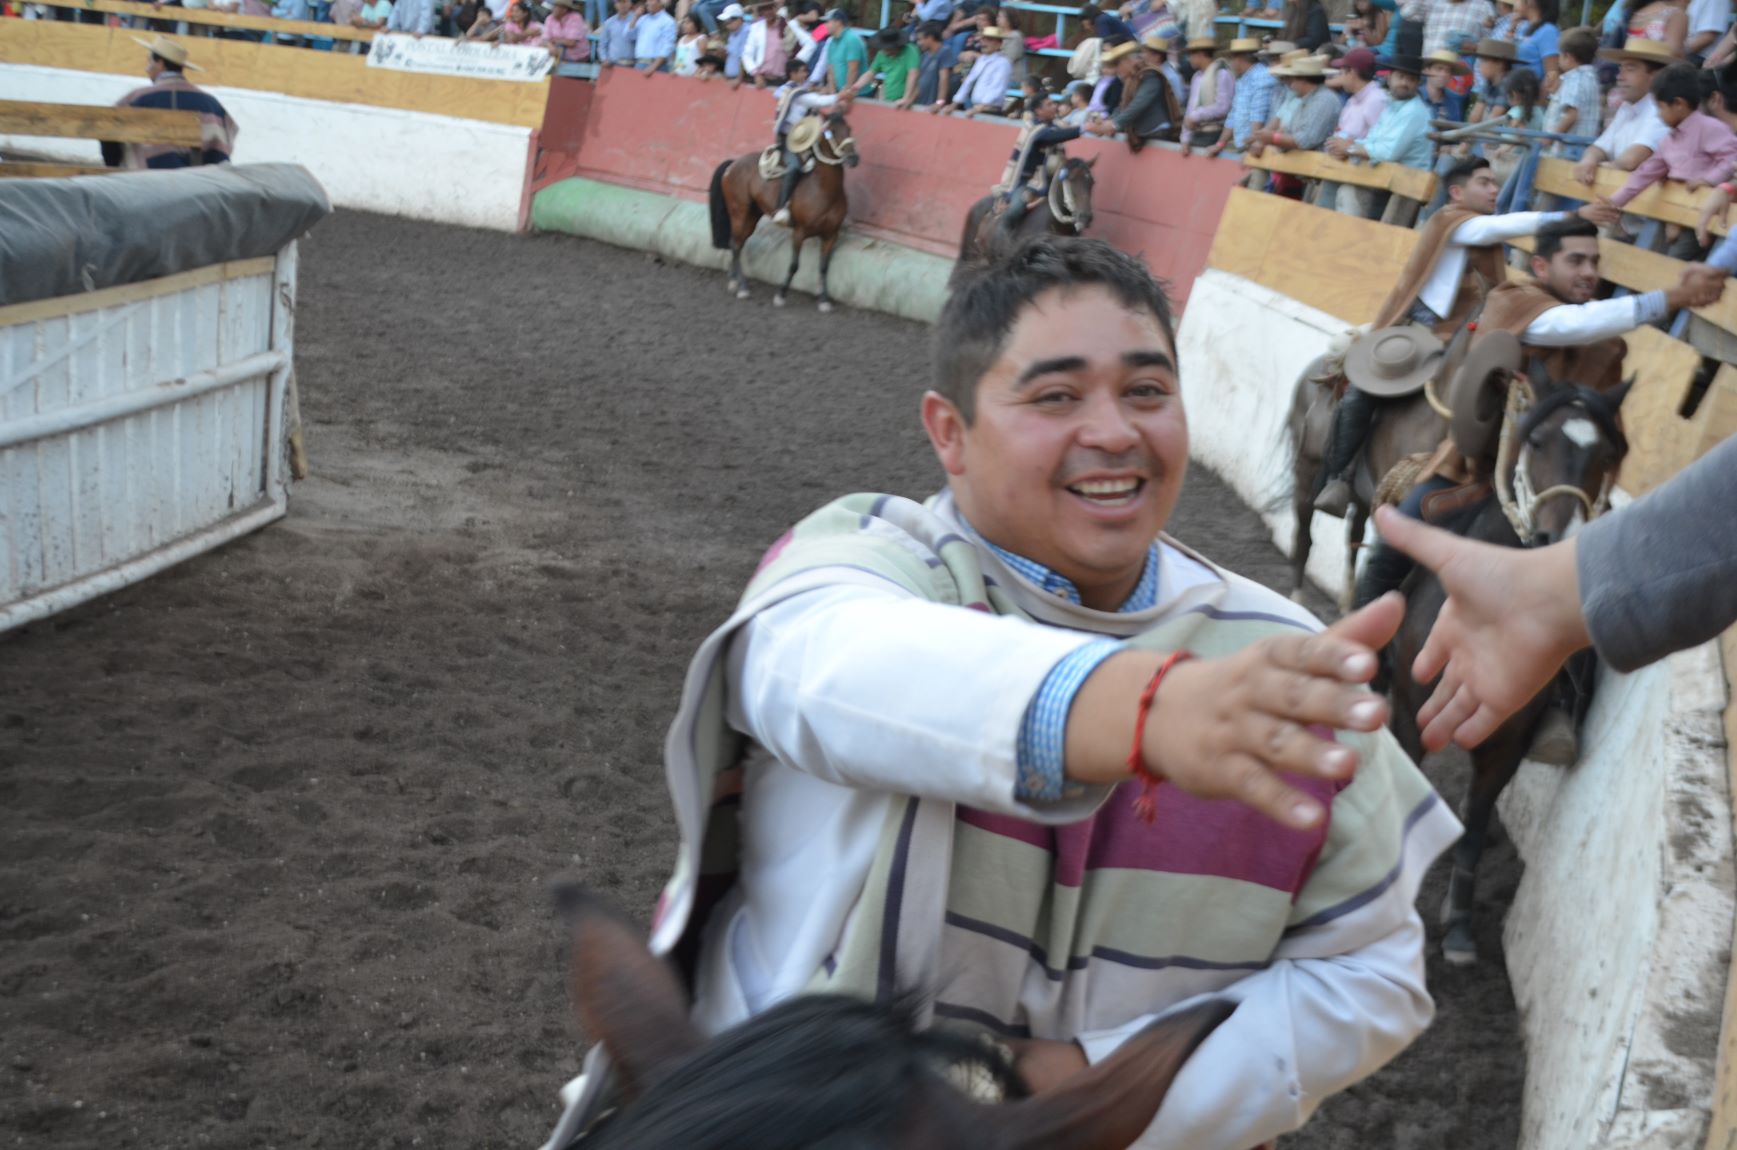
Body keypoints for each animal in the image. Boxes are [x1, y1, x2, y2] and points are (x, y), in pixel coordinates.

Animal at [708, 112, 858, 316]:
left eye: (849, 128)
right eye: (831, 131)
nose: (853, 158)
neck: (824, 190)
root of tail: (733, 164)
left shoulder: (831, 235)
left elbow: (823, 267)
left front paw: (824, 301)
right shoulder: (799, 232)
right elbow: (794, 265)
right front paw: (780, 295)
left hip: (752, 217)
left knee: (737, 243)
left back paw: (734, 282)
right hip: (739, 212)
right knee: (736, 243)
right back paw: (743, 288)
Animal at [1382, 356, 1625, 965]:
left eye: (1607, 456)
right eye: (1536, 440)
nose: (1558, 536)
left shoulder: (1507, 745)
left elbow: (1471, 824)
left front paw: (1459, 927)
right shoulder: (1410, 718)